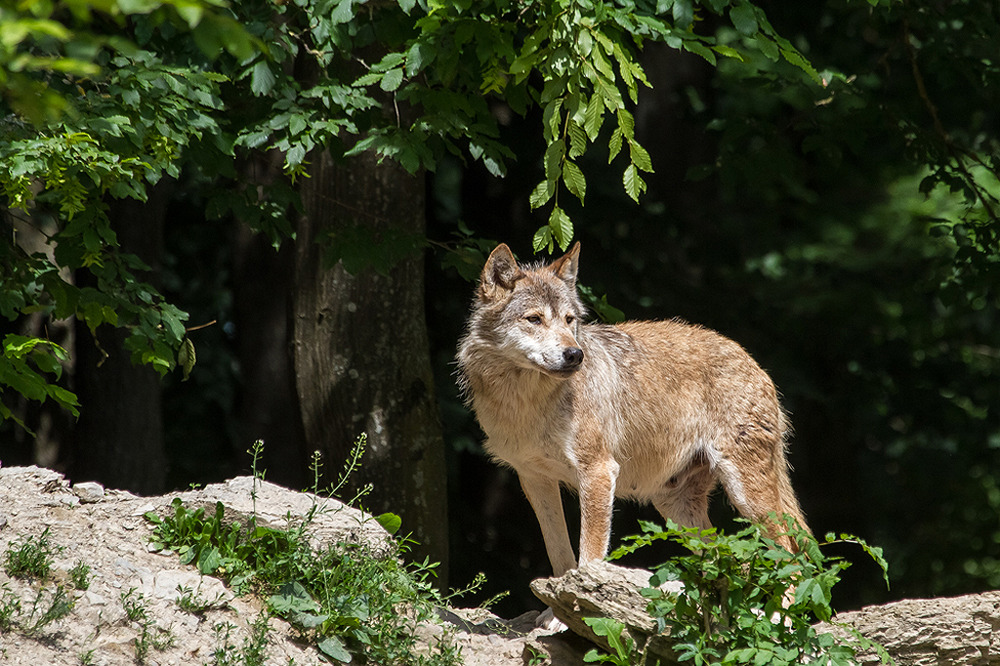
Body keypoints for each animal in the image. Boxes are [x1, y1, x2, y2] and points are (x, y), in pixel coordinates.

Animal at [458, 241, 808, 624]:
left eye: (569, 320)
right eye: (534, 319)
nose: (574, 354)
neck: (527, 402)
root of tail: (753, 362)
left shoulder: (598, 473)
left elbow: (589, 555)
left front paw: (576, 612)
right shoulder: (535, 479)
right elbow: (560, 553)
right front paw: (555, 613)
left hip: (746, 494)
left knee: (790, 549)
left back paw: (781, 617)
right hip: (675, 506)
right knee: (721, 557)